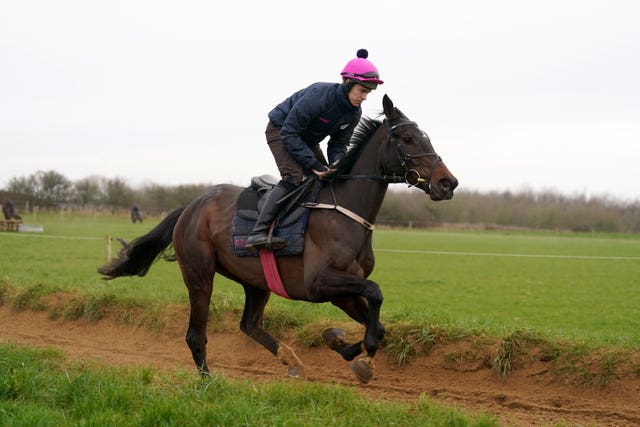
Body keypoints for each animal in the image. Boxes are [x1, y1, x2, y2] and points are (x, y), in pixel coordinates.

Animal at [97, 96, 458, 384]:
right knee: (195, 335)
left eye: (425, 137)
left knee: (249, 324)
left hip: (256, 281)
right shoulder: (319, 284)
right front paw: (361, 357)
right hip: (199, 274)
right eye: (408, 139)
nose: (448, 183)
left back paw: (290, 358)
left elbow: (378, 322)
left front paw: (340, 343)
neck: (343, 211)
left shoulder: (342, 289)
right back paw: (209, 382)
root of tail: (191, 205)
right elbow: (376, 292)